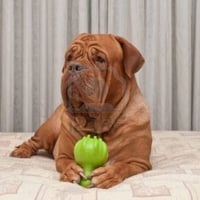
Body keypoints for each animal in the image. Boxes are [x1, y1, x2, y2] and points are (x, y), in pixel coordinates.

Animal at [10, 33, 152, 189]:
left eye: (99, 59)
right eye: (69, 57)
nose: (73, 66)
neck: (99, 124)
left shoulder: (138, 162)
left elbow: (122, 166)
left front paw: (108, 175)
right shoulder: (63, 155)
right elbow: (66, 162)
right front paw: (70, 171)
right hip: (48, 130)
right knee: (33, 141)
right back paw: (21, 151)